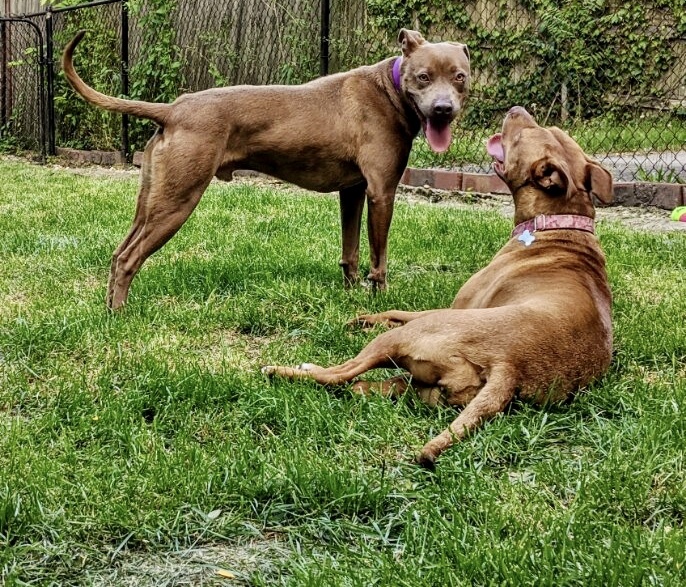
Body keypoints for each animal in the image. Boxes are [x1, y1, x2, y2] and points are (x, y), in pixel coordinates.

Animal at [61, 28, 472, 308]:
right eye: (423, 76)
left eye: (460, 76)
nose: (443, 109)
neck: (389, 88)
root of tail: (174, 108)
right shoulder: (382, 192)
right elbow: (379, 256)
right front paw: (380, 299)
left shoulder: (354, 190)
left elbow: (351, 250)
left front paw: (351, 293)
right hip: (178, 200)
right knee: (129, 258)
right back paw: (120, 313)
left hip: (152, 199)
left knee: (119, 253)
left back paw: (108, 306)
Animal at [264, 108, 620, 468]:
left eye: (522, 136)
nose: (516, 110)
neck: (560, 225)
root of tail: (510, 366)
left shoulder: (454, 306)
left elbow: (400, 310)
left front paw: (365, 318)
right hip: (429, 388)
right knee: (369, 386)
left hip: (408, 338)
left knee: (340, 375)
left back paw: (286, 370)